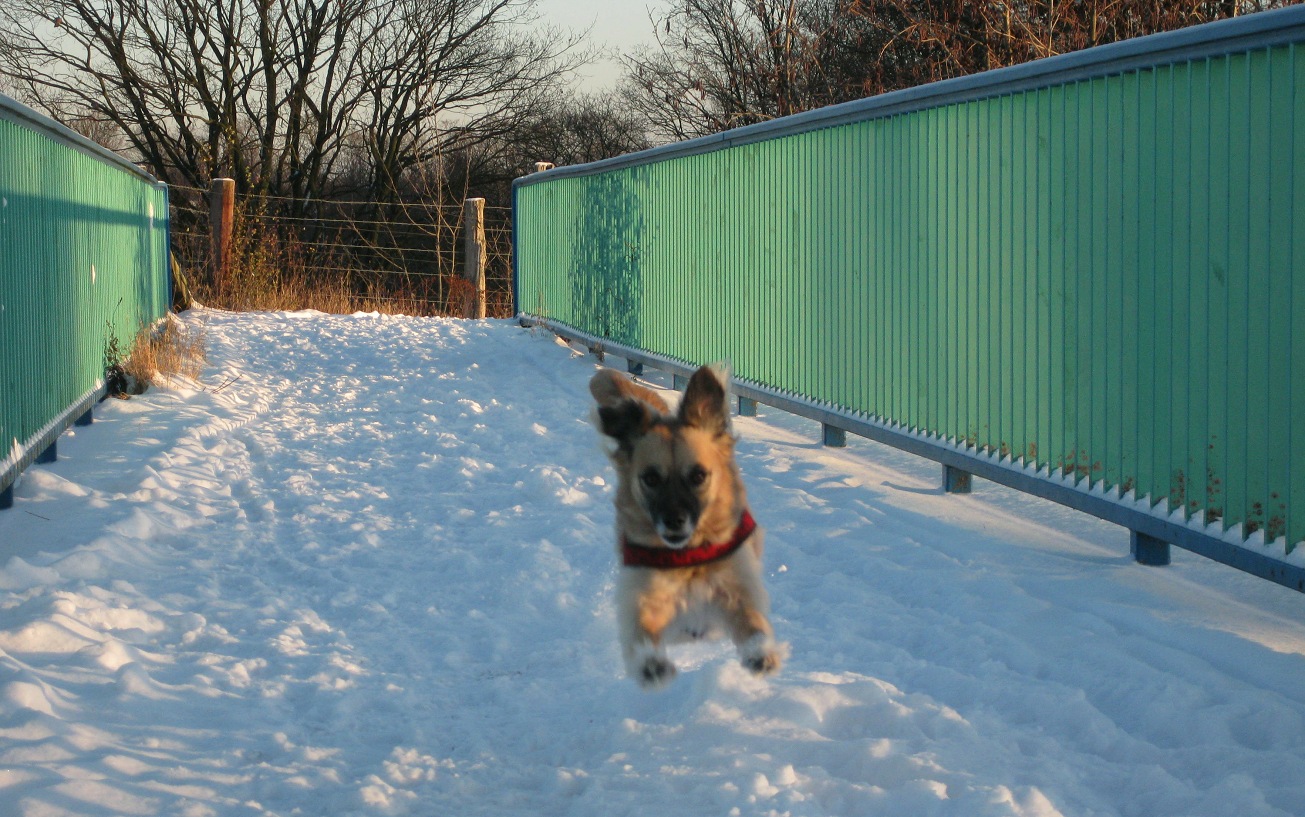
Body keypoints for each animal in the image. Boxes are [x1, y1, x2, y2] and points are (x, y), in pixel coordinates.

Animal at [592, 365, 782, 689]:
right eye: (651, 478)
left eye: (698, 475)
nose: (674, 520)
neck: (689, 554)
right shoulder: (645, 591)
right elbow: (642, 627)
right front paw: (651, 664)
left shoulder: (736, 583)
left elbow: (751, 620)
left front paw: (760, 653)